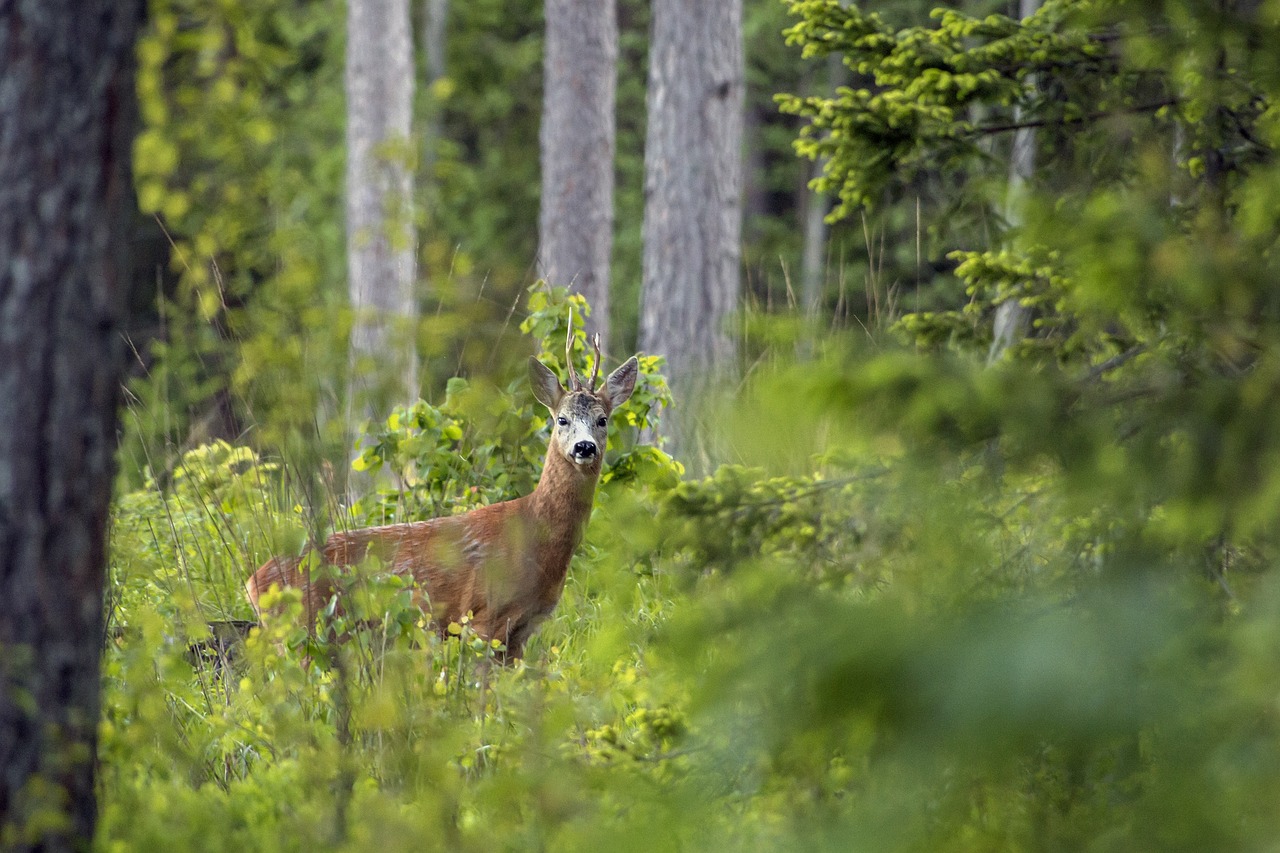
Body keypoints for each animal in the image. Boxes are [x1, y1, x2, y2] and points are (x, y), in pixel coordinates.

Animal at [245, 318, 640, 655]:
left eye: (602, 419)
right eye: (562, 419)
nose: (584, 447)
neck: (535, 537)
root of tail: (254, 581)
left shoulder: (523, 630)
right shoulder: (484, 616)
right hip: (306, 631)